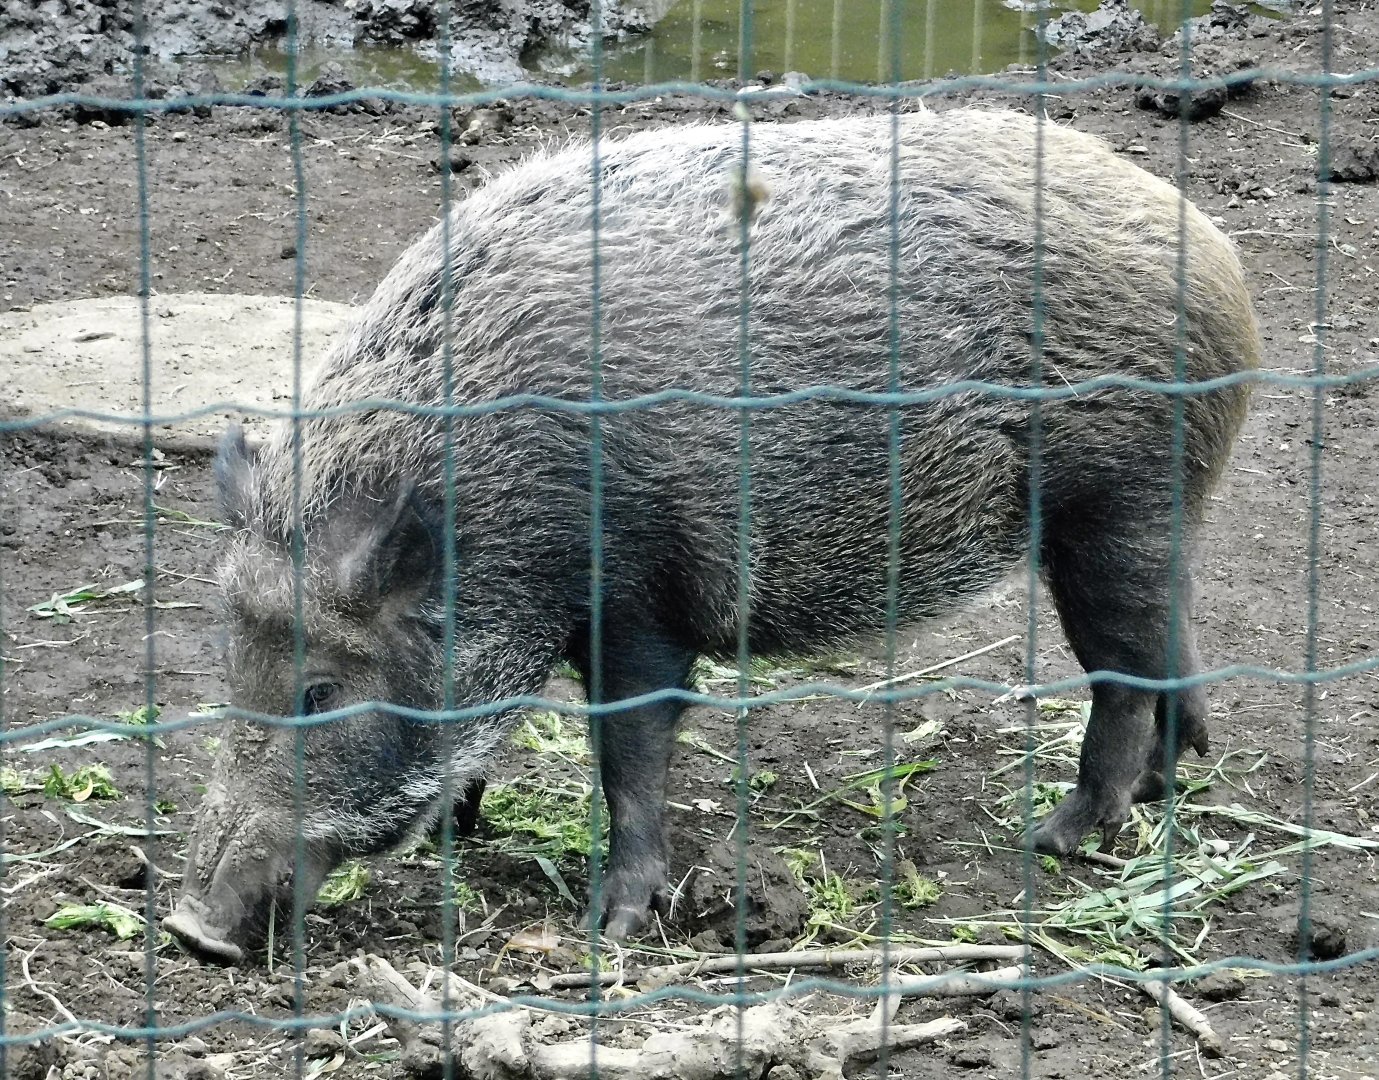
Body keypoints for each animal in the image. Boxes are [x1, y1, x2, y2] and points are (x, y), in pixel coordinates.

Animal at [163, 107, 1259, 963]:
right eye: (228, 665)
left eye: (319, 690)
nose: (190, 927)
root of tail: (1216, 257)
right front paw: (460, 837)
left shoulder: (642, 595)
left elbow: (629, 751)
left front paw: (614, 925)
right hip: (1145, 518)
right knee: (1171, 635)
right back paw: (1166, 782)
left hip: (1111, 506)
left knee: (1121, 671)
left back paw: (1059, 837)